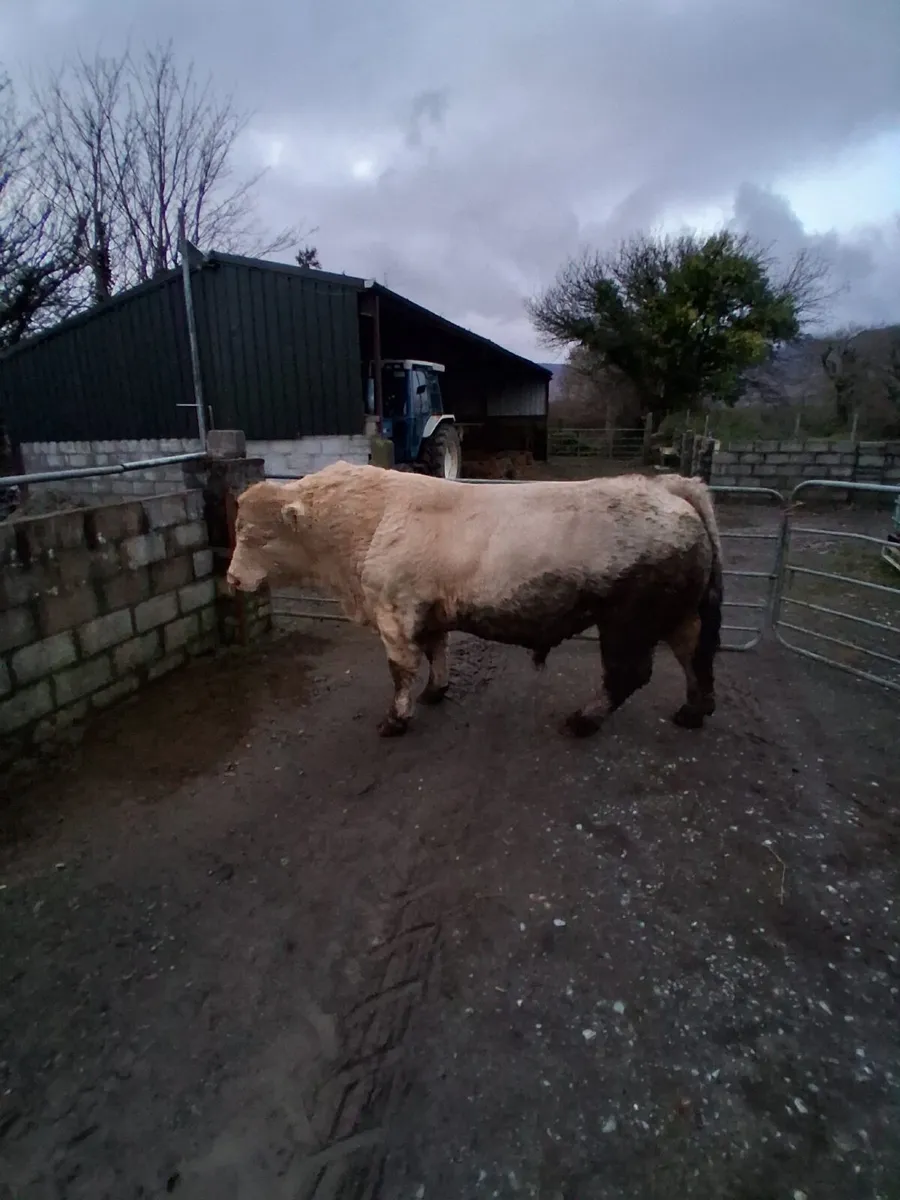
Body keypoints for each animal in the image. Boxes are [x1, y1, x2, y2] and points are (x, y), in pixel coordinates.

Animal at [226, 461, 723, 739]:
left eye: (256, 535)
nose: (231, 579)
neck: (369, 517)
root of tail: (668, 487)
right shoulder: (427, 613)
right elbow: (436, 652)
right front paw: (435, 692)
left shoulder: (394, 612)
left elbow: (400, 670)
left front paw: (396, 720)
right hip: (678, 616)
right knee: (693, 656)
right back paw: (693, 712)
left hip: (627, 622)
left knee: (628, 674)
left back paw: (584, 721)